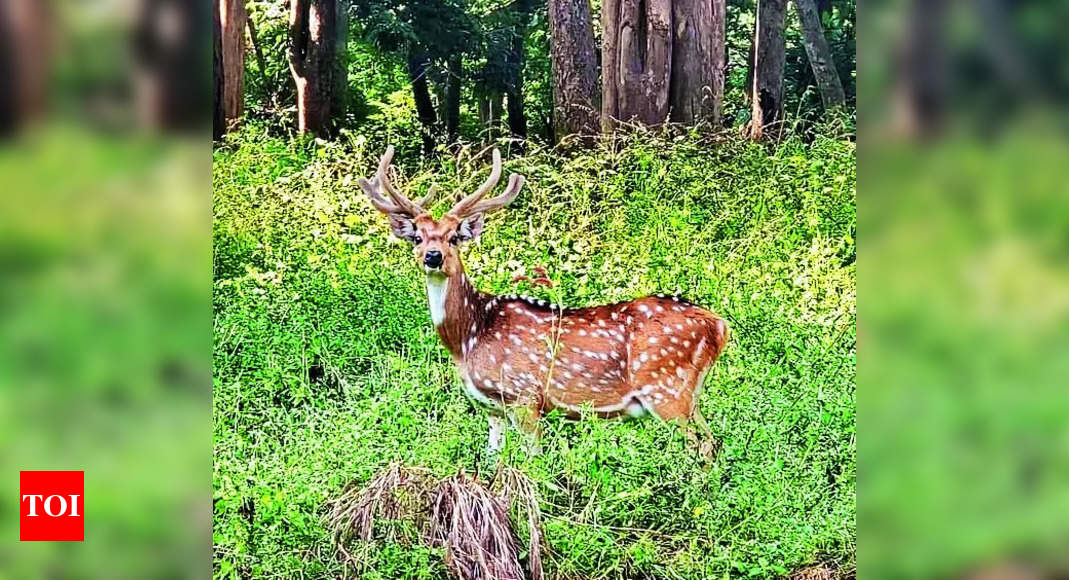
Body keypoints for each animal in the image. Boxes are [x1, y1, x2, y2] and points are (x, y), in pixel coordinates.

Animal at [359, 145, 726, 459]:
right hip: (687, 395)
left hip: (667, 389)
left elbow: (533, 464)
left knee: (703, 446)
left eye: (454, 238)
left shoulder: (525, 396)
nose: (433, 257)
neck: (469, 336)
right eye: (417, 238)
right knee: (711, 442)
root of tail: (719, 326)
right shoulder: (492, 408)